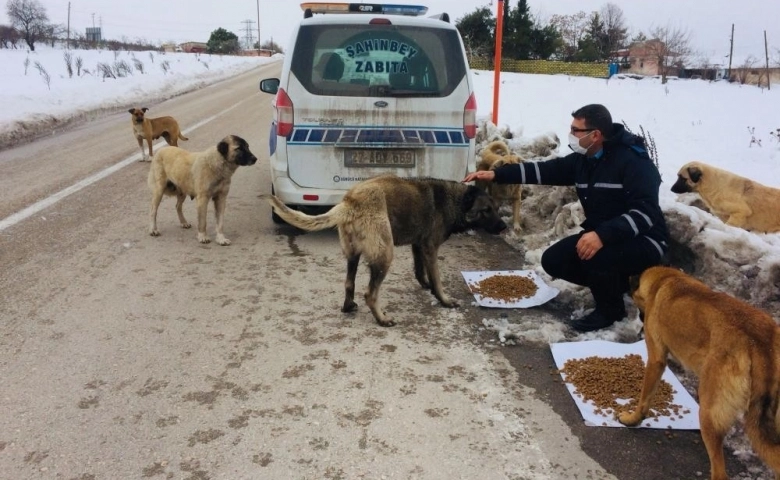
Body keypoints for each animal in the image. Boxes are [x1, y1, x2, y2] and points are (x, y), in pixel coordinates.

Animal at [266, 174, 508, 328]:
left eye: (496, 208)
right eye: (486, 210)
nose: (504, 227)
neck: (456, 200)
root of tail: (350, 202)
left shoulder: (418, 246)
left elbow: (420, 271)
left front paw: (426, 285)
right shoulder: (430, 248)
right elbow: (437, 279)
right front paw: (444, 299)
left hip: (353, 255)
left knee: (349, 283)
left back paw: (348, 306)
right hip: (385, 255)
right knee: (370, 294)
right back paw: (382, 319)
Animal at [616, 266, 780, 480]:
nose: (640, 326)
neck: (665, 279)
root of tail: (761, 343)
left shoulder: (656, 360)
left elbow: (644, 397)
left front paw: (633, 419)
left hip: (708, 413)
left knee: (719, 472)